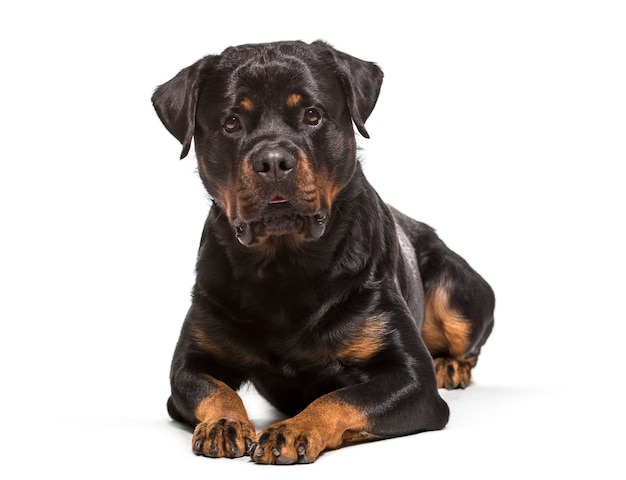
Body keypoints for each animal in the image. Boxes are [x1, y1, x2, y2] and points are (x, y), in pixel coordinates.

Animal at [151, 41, 492, 464]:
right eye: (231, 123)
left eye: (312, 115)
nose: (273, 161)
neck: (284, 266)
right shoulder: (189, 364)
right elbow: (214, 390)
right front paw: (225, 422)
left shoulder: (413, 381)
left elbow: (341, 398)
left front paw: (294, 429)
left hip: (456, 290)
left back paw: (451, 366)